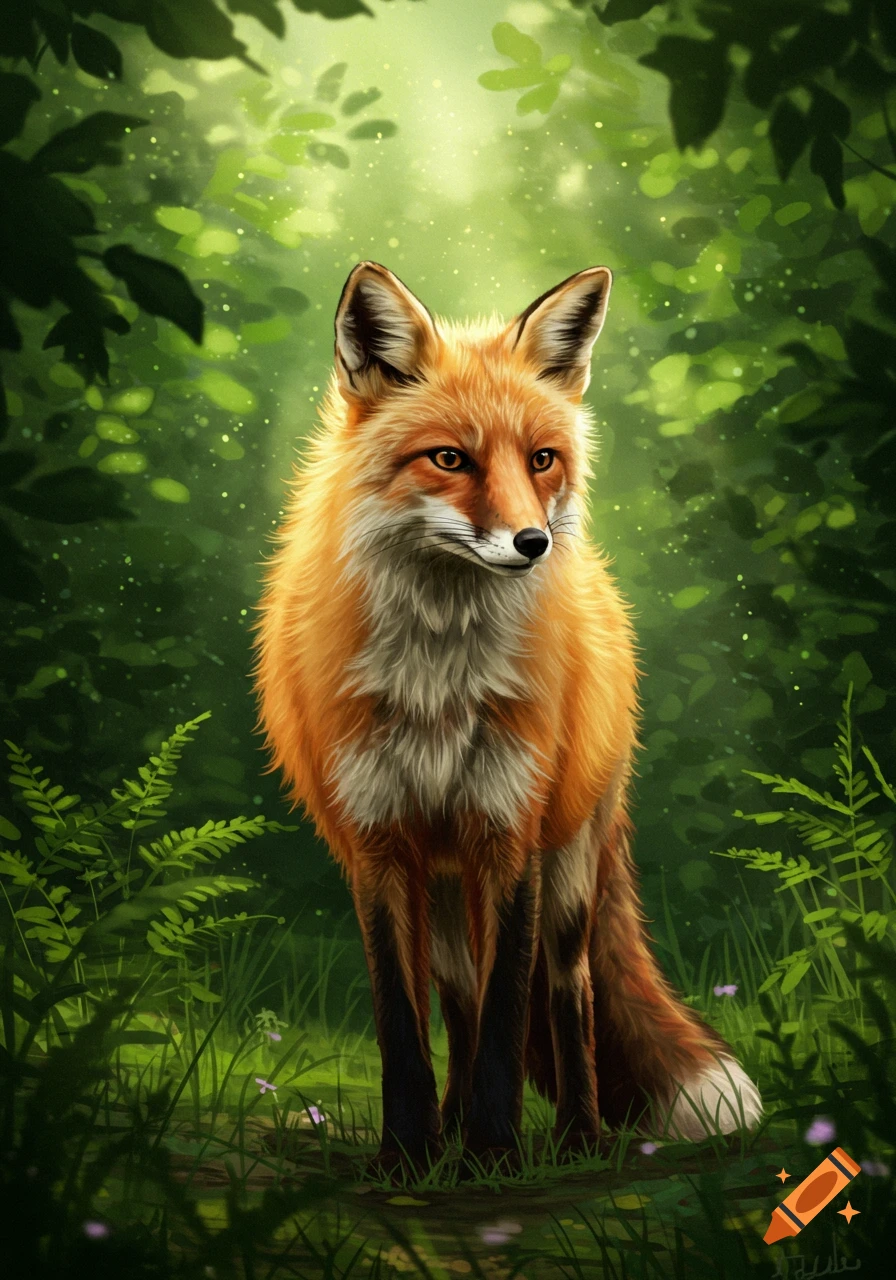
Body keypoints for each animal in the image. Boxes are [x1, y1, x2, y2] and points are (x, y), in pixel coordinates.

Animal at [252, 261, 763, 1179]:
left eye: (543, 460)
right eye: (450, 459)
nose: (533, 543)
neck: (437, 682)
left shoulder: (509, 832)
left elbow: (506, 1020)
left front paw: (495, 1152)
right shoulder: (377, 845)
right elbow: (404, 1026)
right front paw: (408, 1156)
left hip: (566, 869)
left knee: (568, 996)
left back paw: (577, 1138)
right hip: (445, 889)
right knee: (457, 1002)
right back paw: (450, 1133)